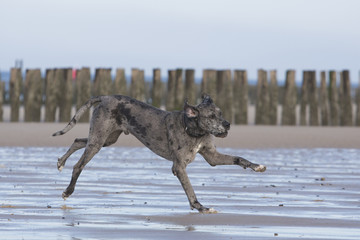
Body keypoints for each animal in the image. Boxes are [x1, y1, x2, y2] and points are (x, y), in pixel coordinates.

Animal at [54, 94, 268, 213]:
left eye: (221, 113)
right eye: (211, 116)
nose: (228, 124)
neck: (192, 130)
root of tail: (106, 96)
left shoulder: (212, 157)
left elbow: (239, 158)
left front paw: (257, 166)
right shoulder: (179, 167)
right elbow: (190, 190)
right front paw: (202, 207)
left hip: (106, 139)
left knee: (78, 140)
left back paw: (61, 162)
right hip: (98, 142)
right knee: (78, 165)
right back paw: (68, 190)